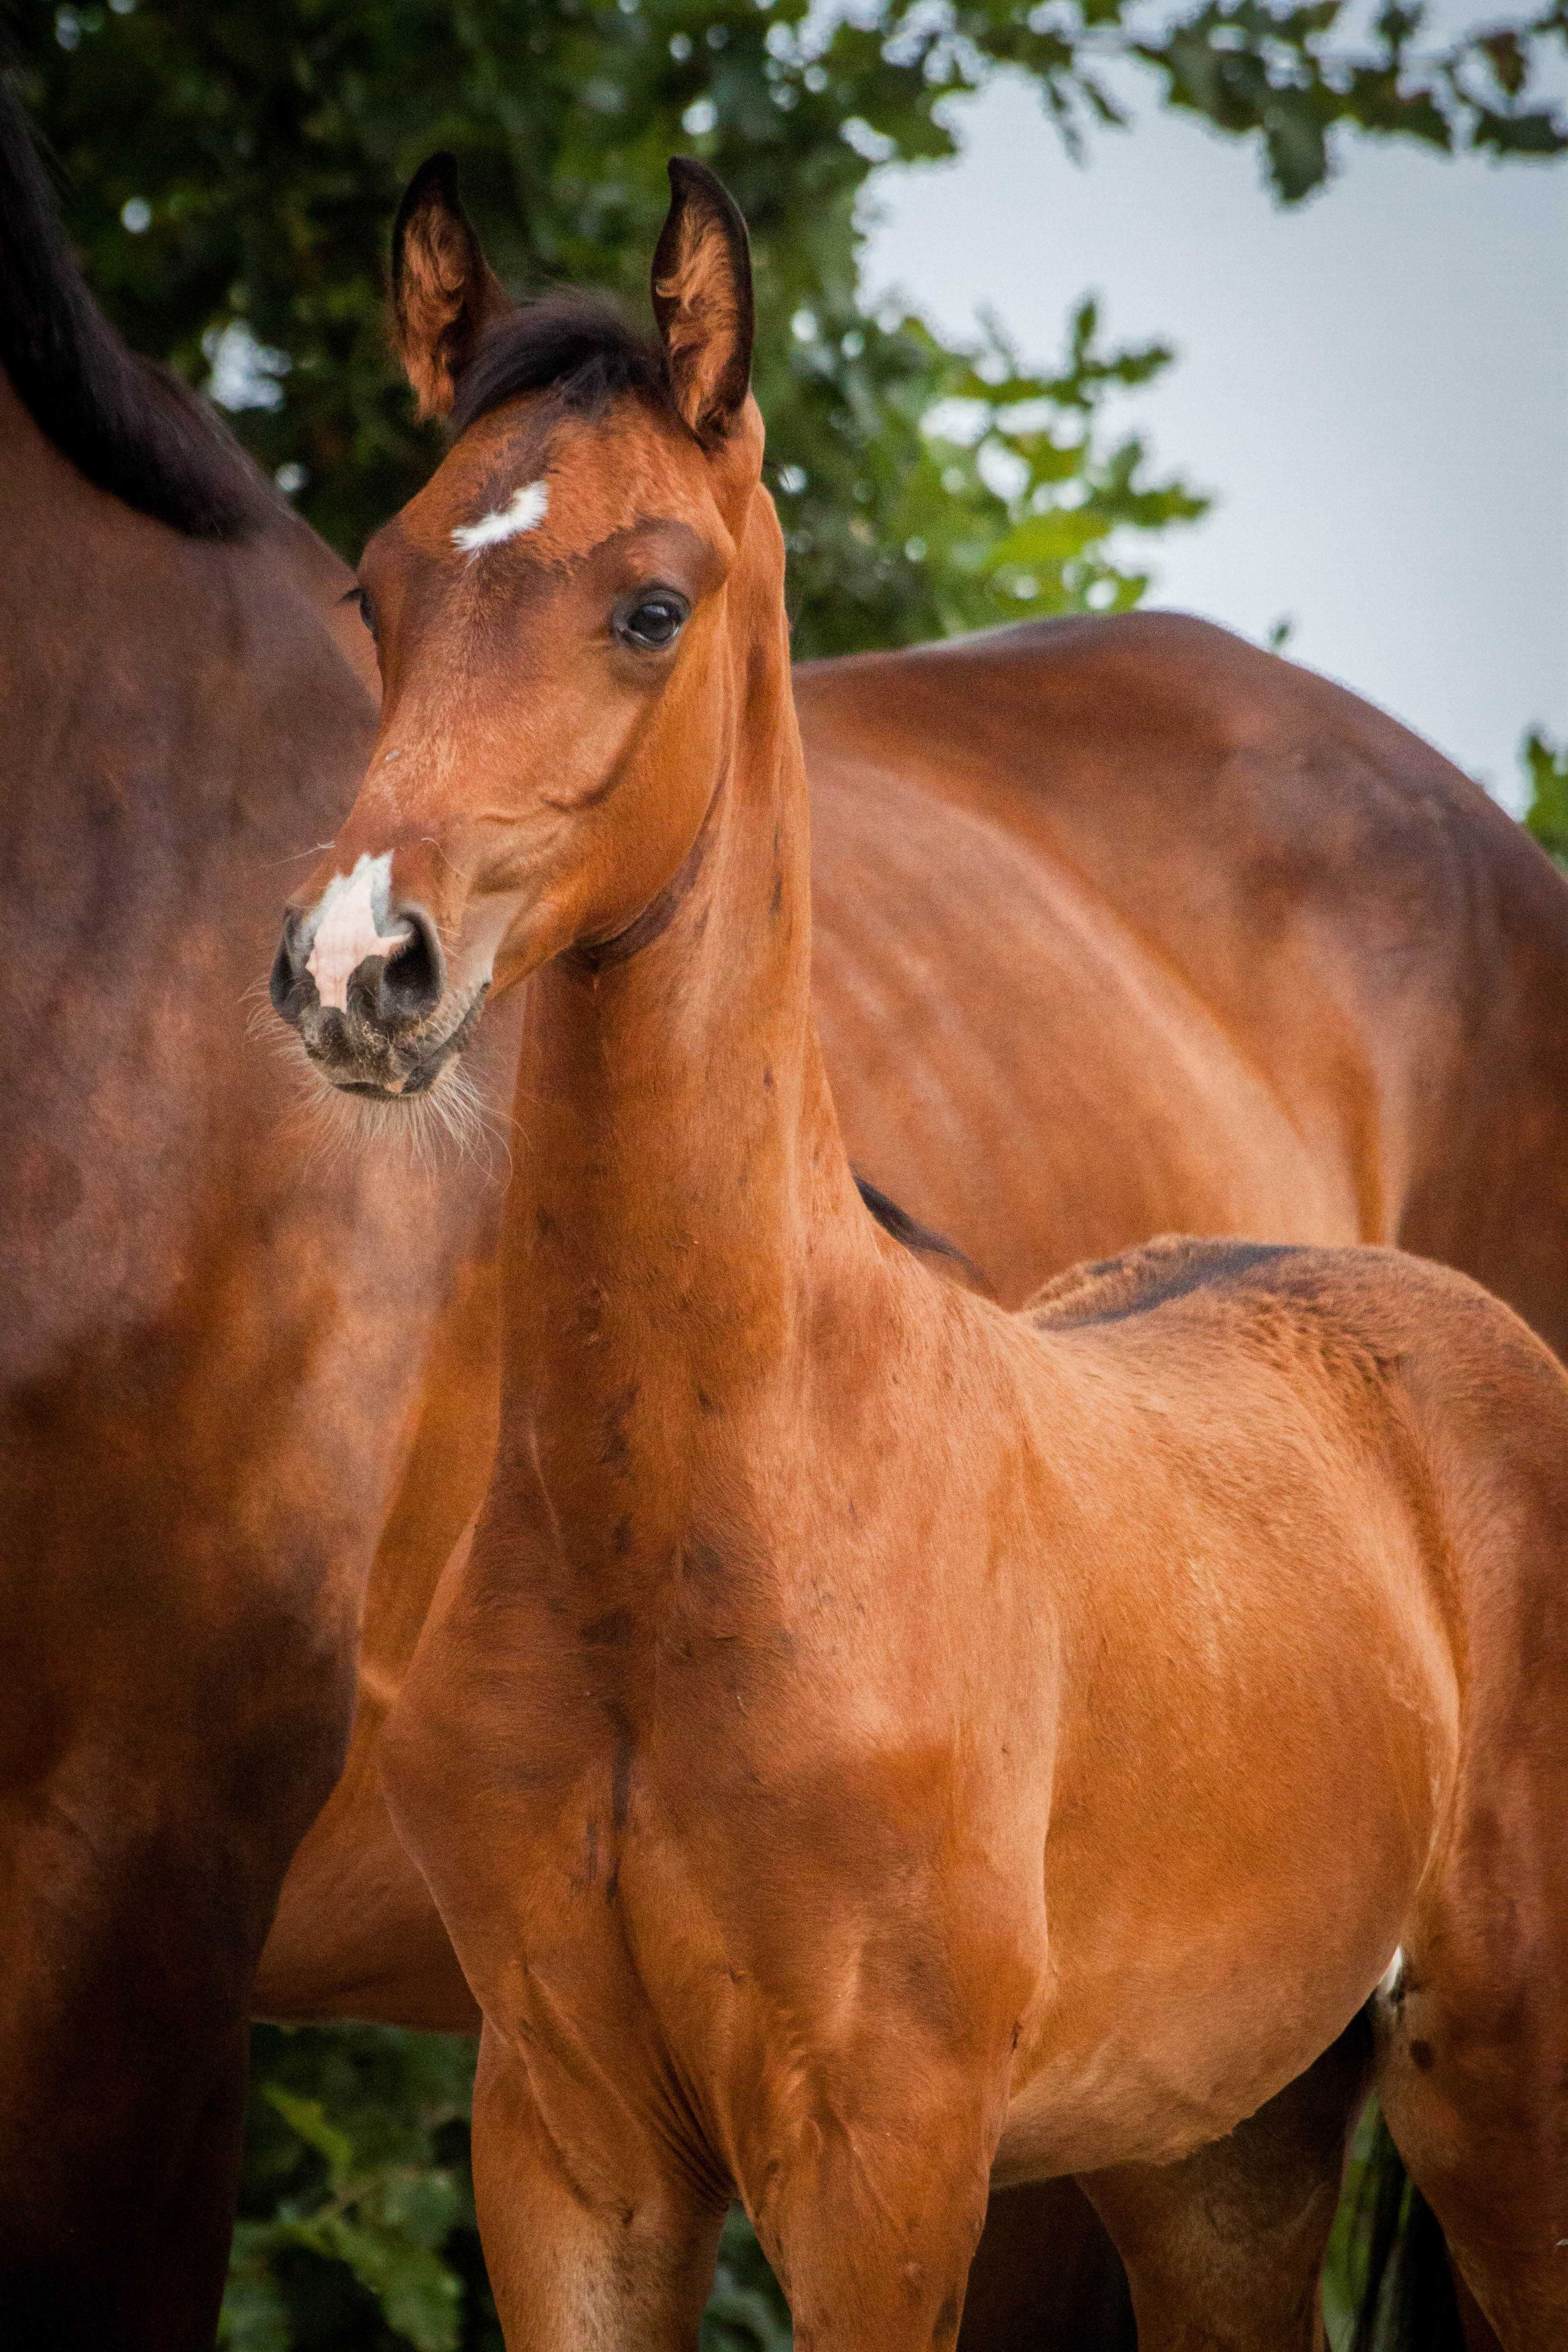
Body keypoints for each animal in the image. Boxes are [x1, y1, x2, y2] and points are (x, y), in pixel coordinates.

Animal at [276, 156, 1568, 2342]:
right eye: (380, 589)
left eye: (653, 603)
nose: (361, 967)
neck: (705, 1516)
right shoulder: (566, 2144)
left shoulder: (881, 2158)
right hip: (1220, 2155)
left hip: (1506, 2093)